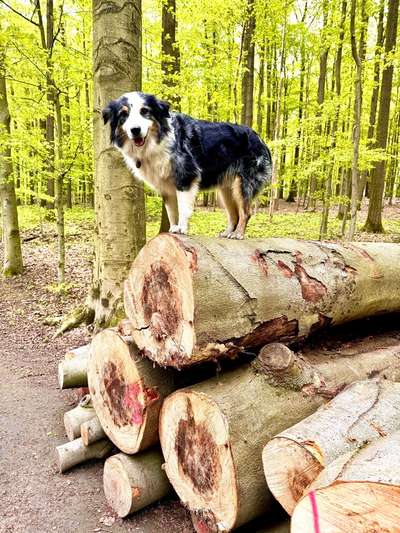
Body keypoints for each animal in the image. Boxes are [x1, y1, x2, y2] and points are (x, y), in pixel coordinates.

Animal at [101, 92, 274, 239]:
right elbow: (172, 211)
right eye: (124, 114)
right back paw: (227, 233)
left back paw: (238, 234)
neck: (158, 141)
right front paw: (173, 229)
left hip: (243, 184)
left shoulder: (186, 177)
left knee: (245, 212)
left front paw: (182, 228)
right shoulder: (165, 186)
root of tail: (260, 139)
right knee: (234, 214)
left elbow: (183, 208)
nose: (135, 130)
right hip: (225, 190)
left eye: (144, 111)